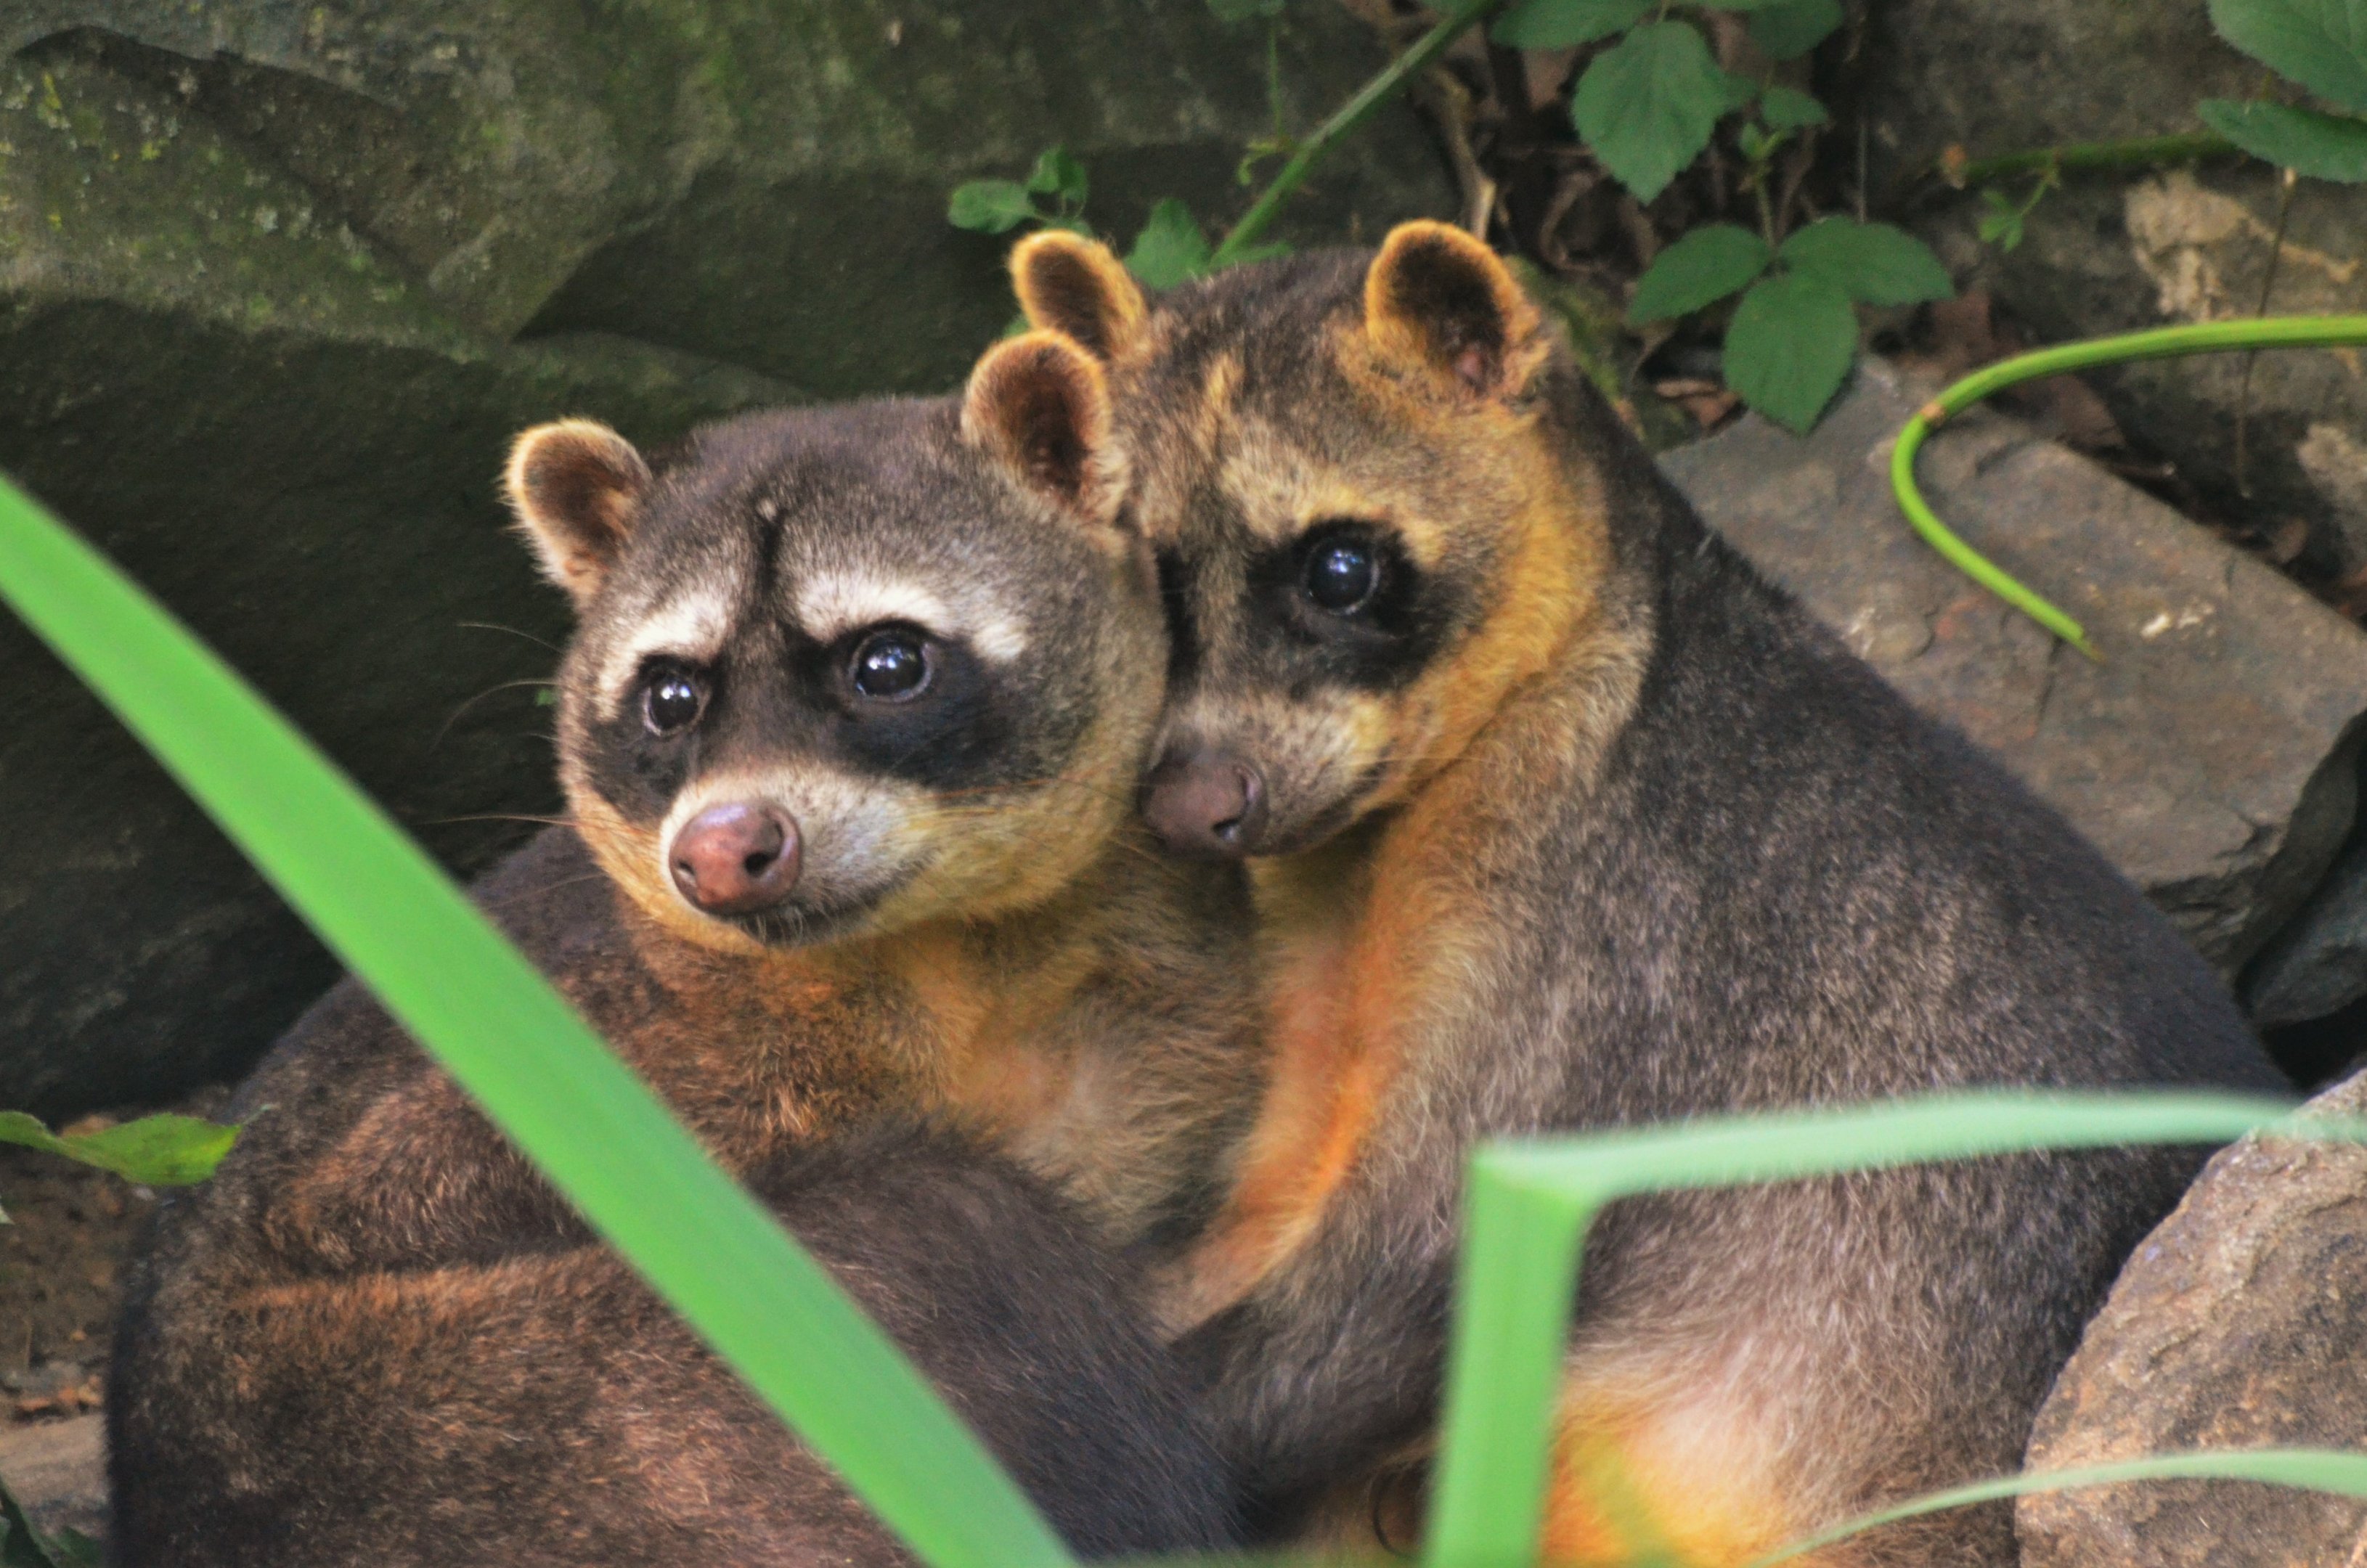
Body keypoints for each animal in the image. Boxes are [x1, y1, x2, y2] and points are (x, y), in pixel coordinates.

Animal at [108, 332, 1259, 1564]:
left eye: (888, 665)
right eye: (670, 696)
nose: (718, 853)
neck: (951, 950)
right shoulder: (591, 1047)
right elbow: (363, 1205)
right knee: (955, 1230)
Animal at [1010, 224, 2288, 1566]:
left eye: (1340, 570)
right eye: (1144, 581)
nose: (1187, 807)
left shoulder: (1608, 947)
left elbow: (1415, 1274)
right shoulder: (1315, 985)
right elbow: (1259, 1212)